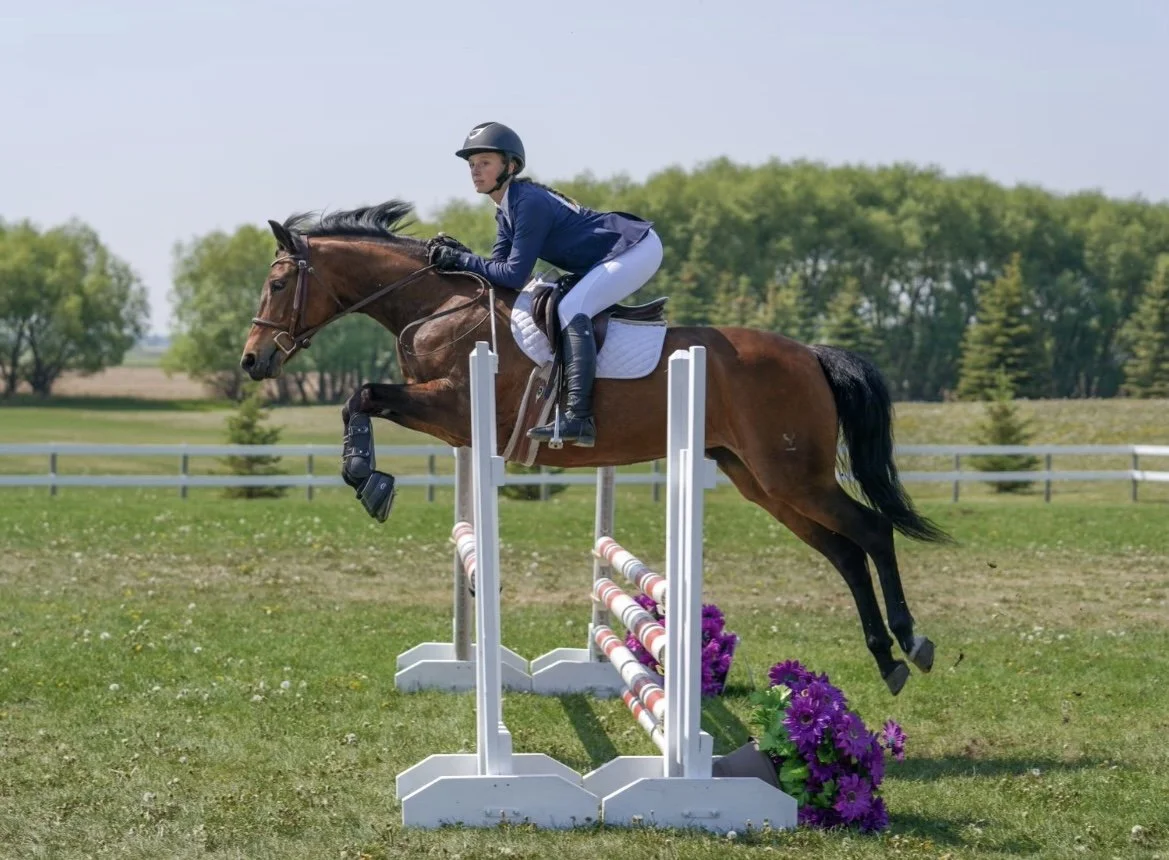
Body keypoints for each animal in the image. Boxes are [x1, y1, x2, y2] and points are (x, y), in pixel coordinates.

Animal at [239, 200, 953, 695]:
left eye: (276, 284)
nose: (252, 361)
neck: (438, 305)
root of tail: (811, 354)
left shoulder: (454, 405)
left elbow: (361, 394)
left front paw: (369, 478)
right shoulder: (450, 422)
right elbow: (362, 399)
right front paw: (368, 476)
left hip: (793, 476)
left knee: (873, 530)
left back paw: (911, 642)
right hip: (761, 481)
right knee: (845, 551)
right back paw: (887, 659)